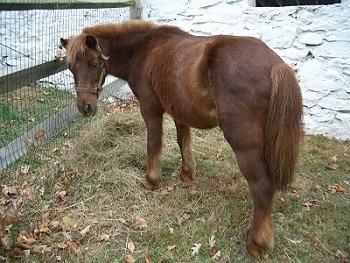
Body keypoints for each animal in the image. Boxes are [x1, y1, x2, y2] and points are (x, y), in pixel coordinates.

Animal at [59, 19, 300, 258]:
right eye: (71, 68)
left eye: (94, 64)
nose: (85, 107)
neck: (145, 50)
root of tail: (275, 65)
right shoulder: (179, 112)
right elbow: (183, 142)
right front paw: (186, 174)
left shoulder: (150, 110)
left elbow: (153, 145)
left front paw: (152, 180)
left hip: (244, 144)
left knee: (262, 187)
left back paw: (256, 243)